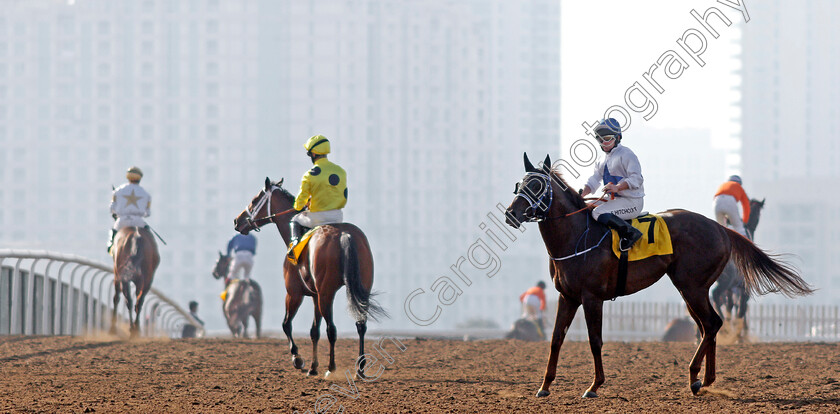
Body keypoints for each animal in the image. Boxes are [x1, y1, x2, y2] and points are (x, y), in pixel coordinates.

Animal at [231, 176, 386, 376]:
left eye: (255, 199)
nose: (237, 220)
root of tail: (345, 235)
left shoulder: (294, 293)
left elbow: (286, 324)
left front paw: (298, 359)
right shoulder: (314, 296)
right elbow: (314, 331)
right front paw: (313, 367)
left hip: (326, 293)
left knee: (331, 329)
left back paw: (331, 368)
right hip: (361, 290)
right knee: (360, 325)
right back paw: (360, 368)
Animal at [506, 154, 812, 398]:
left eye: (537, 185)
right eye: (520, 184)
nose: (511, 214)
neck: (577, 236)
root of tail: (720, 228)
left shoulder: (592, 297)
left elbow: (595, 341)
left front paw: (594, 386)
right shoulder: (567, 296)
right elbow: (556, 338)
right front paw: (544, 386)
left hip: (691, 286)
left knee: (712, 323)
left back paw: (695, 377)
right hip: (691, 289)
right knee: (708, 325)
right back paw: (704, 380)